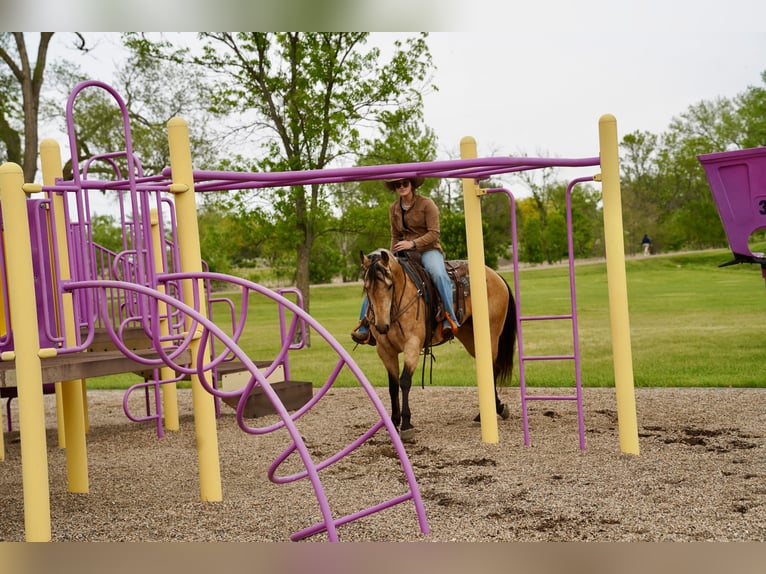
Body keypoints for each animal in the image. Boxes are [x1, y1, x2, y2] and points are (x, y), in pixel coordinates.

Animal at [360, 248, 517, 441]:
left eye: (389, 285)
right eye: (366, 287)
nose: (381, 326)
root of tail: (496, 276)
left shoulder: (413, 345)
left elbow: (404, 382)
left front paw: (406, 425)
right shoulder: (385, 350)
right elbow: (393, 385)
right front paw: (394, 421)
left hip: (491, 335)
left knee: (492, 368)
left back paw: (487, 413)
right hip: (471, 338)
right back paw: (496, 409)